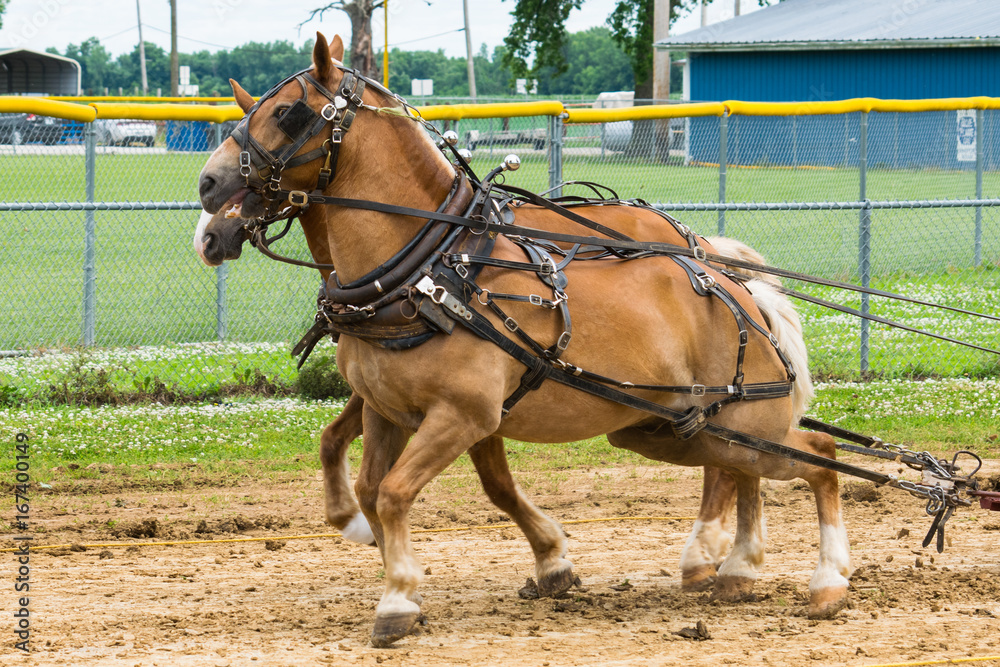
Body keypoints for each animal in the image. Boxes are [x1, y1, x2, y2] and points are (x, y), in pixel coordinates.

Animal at [195, 35, 852, 648]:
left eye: (287, 113)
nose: (207, 188)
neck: (431, 271)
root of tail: (728, 280)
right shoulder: (391, 411)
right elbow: (368, 480)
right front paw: (401, 567)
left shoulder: (467, 415)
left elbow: (404, 492)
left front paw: (400, 597)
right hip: (675, 430)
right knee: (751, 470)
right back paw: (735, 568)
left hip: (740, 424)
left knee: (818, 459)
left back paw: (819, 581)